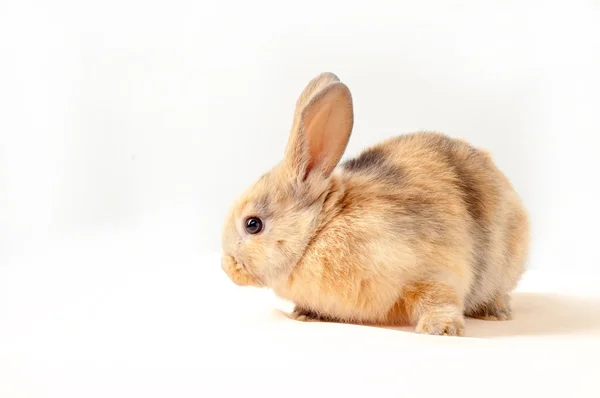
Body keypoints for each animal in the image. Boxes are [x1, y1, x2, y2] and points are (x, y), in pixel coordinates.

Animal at [220, 72, 528, 336]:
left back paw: (496, 311)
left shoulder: (432, 271)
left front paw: (440, 329)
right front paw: (305, 314)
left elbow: (438, 299)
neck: (319, 232)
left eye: (253, 224)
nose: (227, 267)